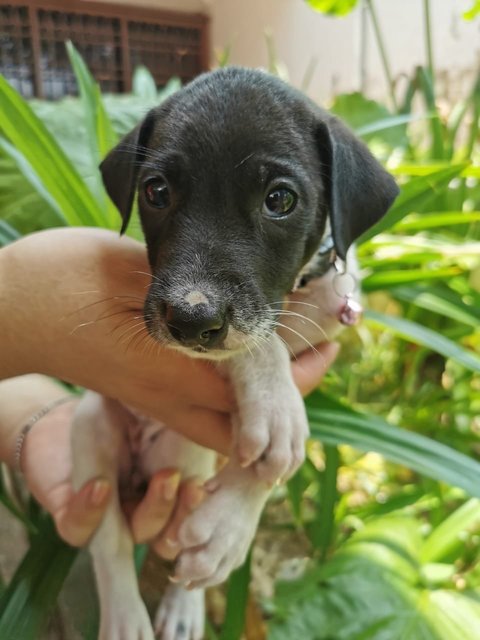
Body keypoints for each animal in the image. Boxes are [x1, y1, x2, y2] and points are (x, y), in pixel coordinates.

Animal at [72, 66, 398, 640]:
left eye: (280, 200)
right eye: (156, 191)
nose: (188, 319)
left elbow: (268, 458)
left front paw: (226, 525)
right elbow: (258, 348)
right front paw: (275, 406)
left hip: (186, 461)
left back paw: (184, 605)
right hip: (92, 429)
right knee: (109, 539)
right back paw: (127, 614)